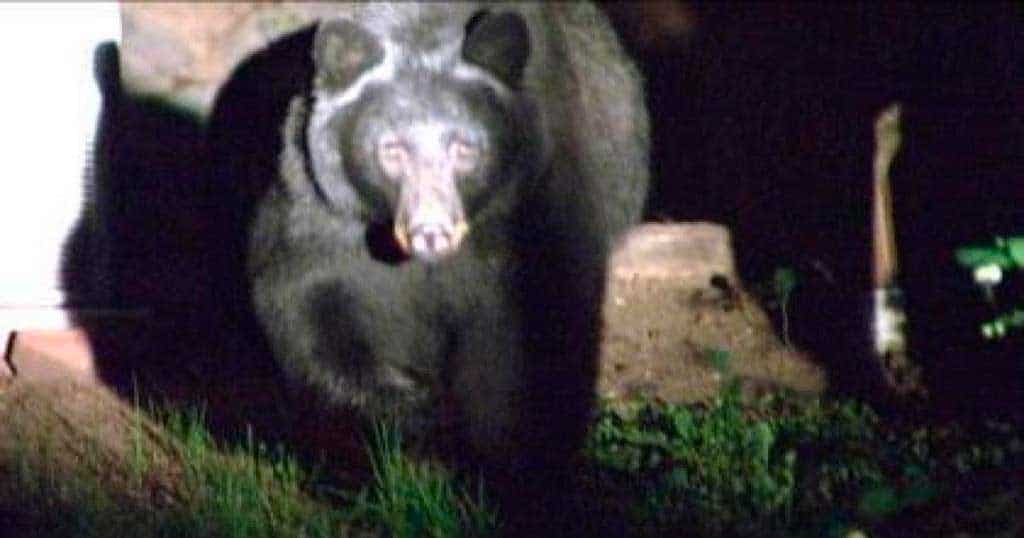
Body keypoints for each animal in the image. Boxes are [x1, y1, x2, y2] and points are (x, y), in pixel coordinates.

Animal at [212, 2, 648, 519]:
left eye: (464, 148)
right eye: (392, 149)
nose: (431, 230)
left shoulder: (527, 218)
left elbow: (531, 350)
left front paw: (517, 481)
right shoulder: (320, 213)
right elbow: (314, 317)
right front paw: (408, 436)